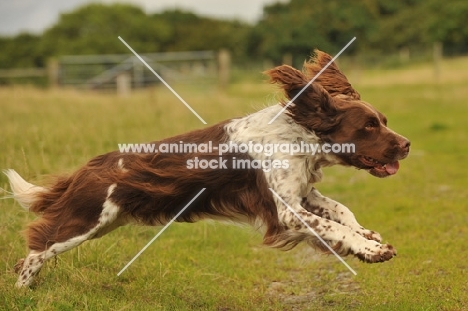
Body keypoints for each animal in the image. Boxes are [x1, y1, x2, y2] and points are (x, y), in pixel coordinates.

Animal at [6, 50, 410, 288]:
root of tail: (87, 167)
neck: (299, 135)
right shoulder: (285, 212)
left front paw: (368, 237)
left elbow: (341, 211)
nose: (407, 144)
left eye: (384, 121)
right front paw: (372, 249)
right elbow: (332, 226)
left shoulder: (301, 193)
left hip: (105, 222)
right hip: (87, 220)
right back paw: (23, 290)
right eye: (368, 126)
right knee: (37, 247)